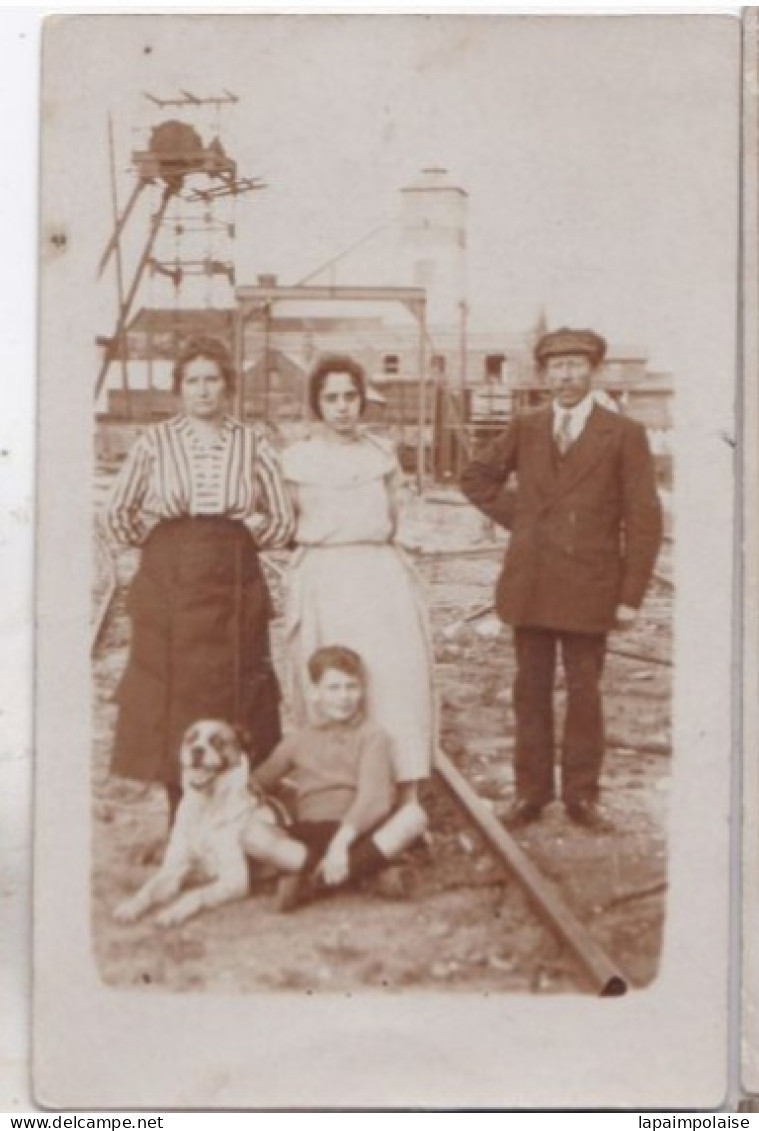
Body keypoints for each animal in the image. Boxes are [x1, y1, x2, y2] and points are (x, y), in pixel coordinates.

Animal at [114, 719, 289, 922]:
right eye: (190, 738)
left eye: (217, 741)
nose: (197, 750)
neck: (206, 808)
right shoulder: (173, 869)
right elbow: (148, 890)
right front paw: (130, 906)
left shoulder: (234, 879)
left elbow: (196, 894)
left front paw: (173, 912)